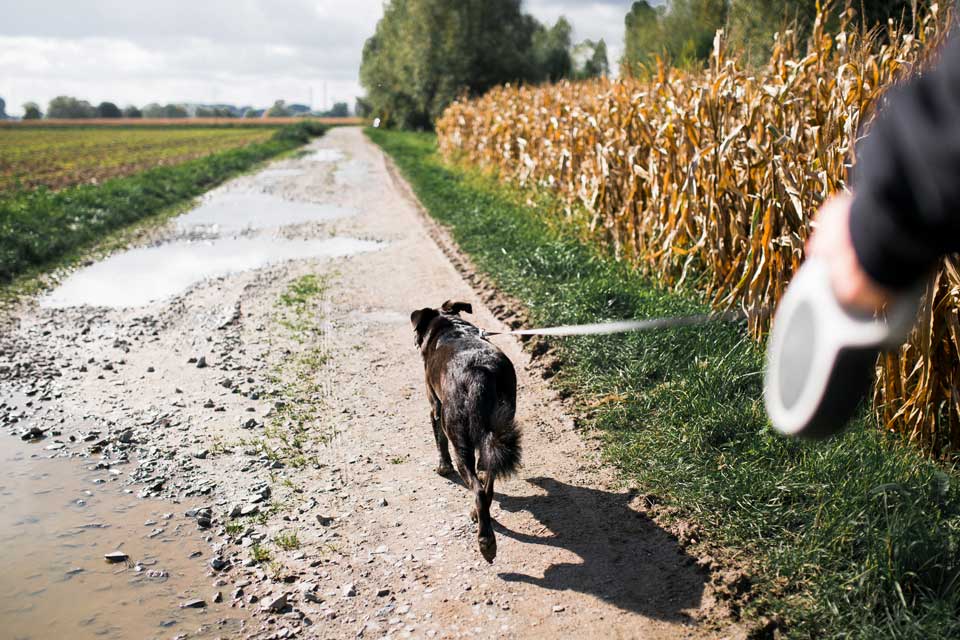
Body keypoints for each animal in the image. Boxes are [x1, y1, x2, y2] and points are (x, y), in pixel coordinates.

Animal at [410, 298, 520, 560]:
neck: (451, 326)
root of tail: (480, 373)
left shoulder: (435, 406)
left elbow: (439, 442)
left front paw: (443, 468)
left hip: (458, 435)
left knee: (478, 488)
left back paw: (486, 542)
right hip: (497, 429)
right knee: (487, 478)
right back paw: (479, 516)